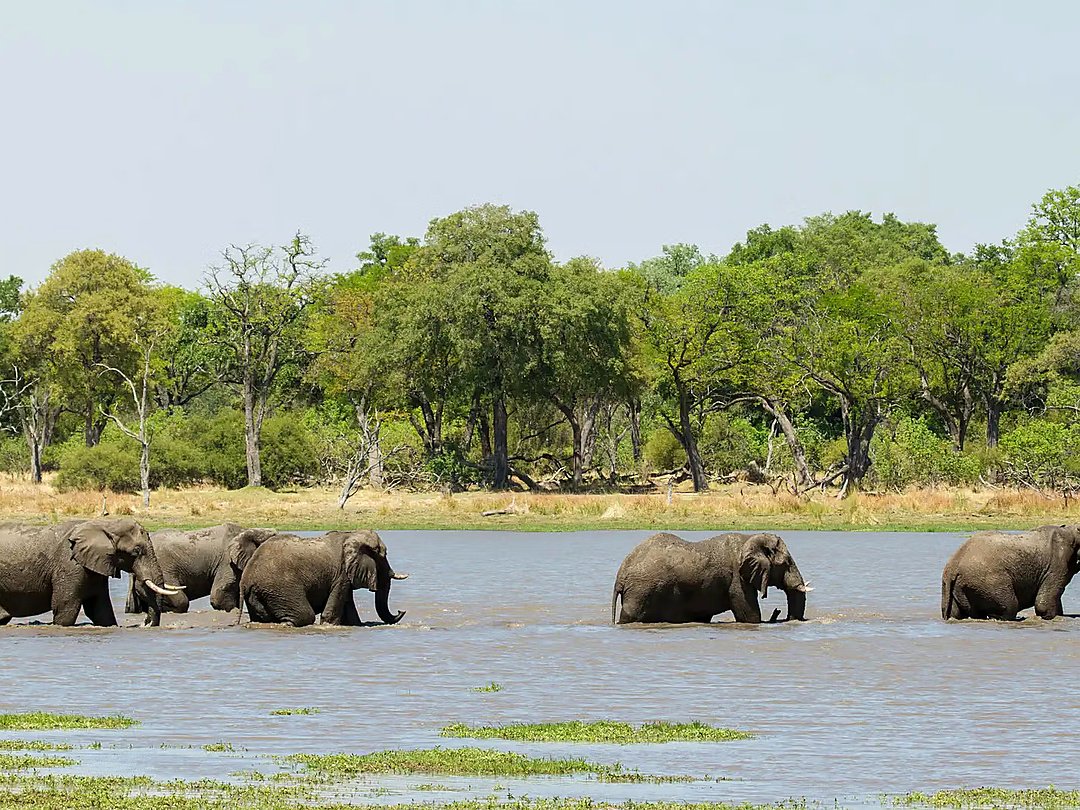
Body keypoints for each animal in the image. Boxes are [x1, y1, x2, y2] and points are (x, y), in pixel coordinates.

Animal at [0, 518, 183, 627]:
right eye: (137, 551)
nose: (144, 623)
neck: (105, 525)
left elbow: (100, 610)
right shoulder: (69, 564)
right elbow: (65, 607)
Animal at [240, 530, 408, 627]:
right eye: (383, 556)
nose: (401, 610)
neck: (350, 535)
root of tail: (246, 580)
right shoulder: (342, 573)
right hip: (279, 588)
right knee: (305, 616)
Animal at [612, 532, 811, 624]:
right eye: (786, 563)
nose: (779, 613)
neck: (749, 538)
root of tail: (621, 573)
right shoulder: (737, 579)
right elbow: (749, 615)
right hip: (640, 590)